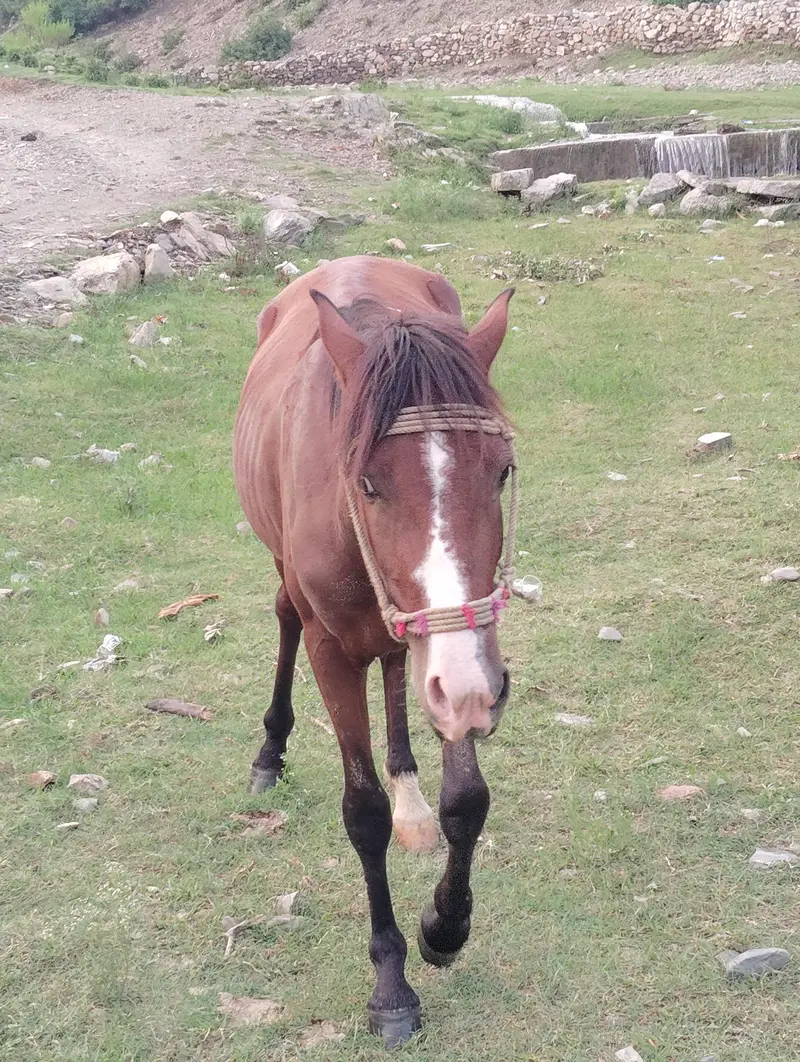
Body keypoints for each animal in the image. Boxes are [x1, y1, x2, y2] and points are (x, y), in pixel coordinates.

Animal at [233, 254, 517, 1047]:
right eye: (368, 482)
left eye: (502, 470)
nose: (477, 687)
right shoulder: (333, 651)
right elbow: (363, 815)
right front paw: (391, 985)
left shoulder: (457, 660)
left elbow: (467, 800)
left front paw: (445, 928)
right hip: (288, 580)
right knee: (285, 618)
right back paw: (270, 753)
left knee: (394, 668)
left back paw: (408, 784)